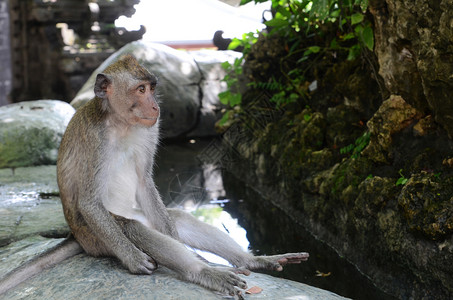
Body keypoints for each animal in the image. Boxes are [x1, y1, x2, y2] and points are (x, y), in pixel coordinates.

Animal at [0, 55, 308, 296]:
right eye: (140, 89)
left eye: (151, 88)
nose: (155, 106)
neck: (120, 122)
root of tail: (75, 237)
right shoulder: (93, 138)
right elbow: (89, 201)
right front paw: (133, 258)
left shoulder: (151, 128)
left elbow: (145, 182)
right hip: (96, 236)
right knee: (132, 228)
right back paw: (203, 272)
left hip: (146, 215)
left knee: (176, 219)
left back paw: (250, 261)